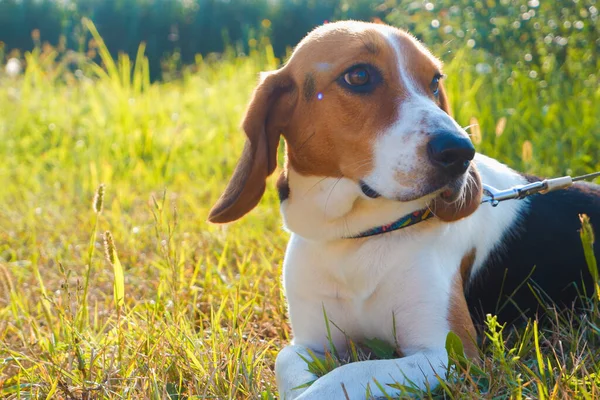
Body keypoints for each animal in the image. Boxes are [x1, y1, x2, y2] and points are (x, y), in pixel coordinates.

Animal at [207, 19, 600, 400]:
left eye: (434, 81)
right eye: (359, 76)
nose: (461, 151)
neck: (357, 237)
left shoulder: (446, 355)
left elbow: (344, 375)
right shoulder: (312, 343)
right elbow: (285, 360)